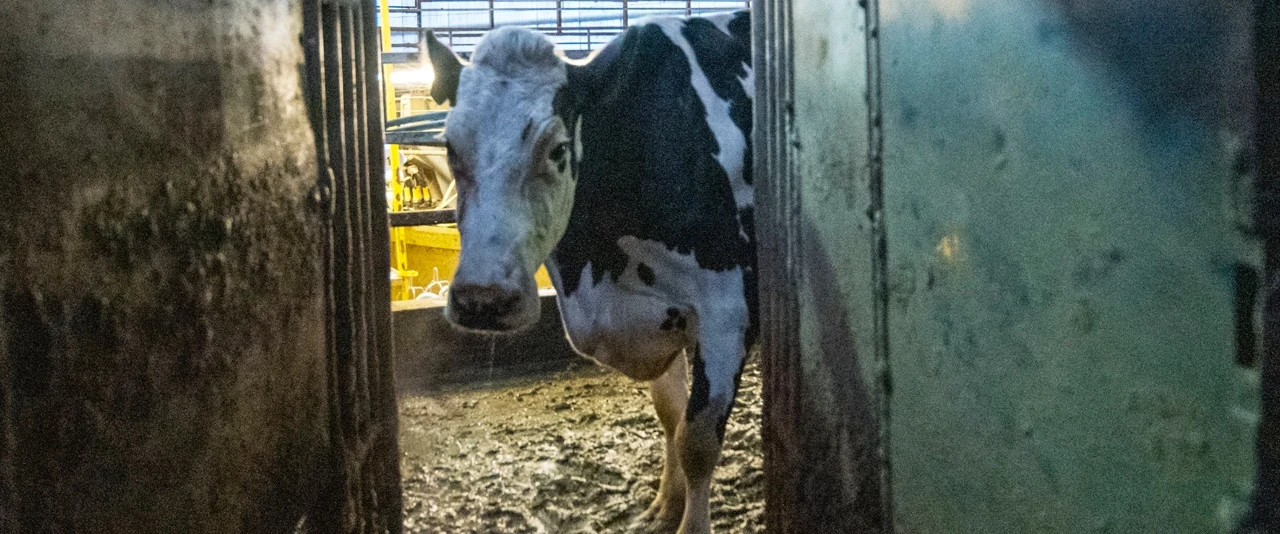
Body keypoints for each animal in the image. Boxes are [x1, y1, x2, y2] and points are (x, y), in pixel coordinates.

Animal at [428, 11, 755, 534]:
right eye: (450, 147)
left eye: (558, 149)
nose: (483, 299)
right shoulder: (662, 314)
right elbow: (671, 415)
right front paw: (666, 504)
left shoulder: (727, 313)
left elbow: (698, 441)